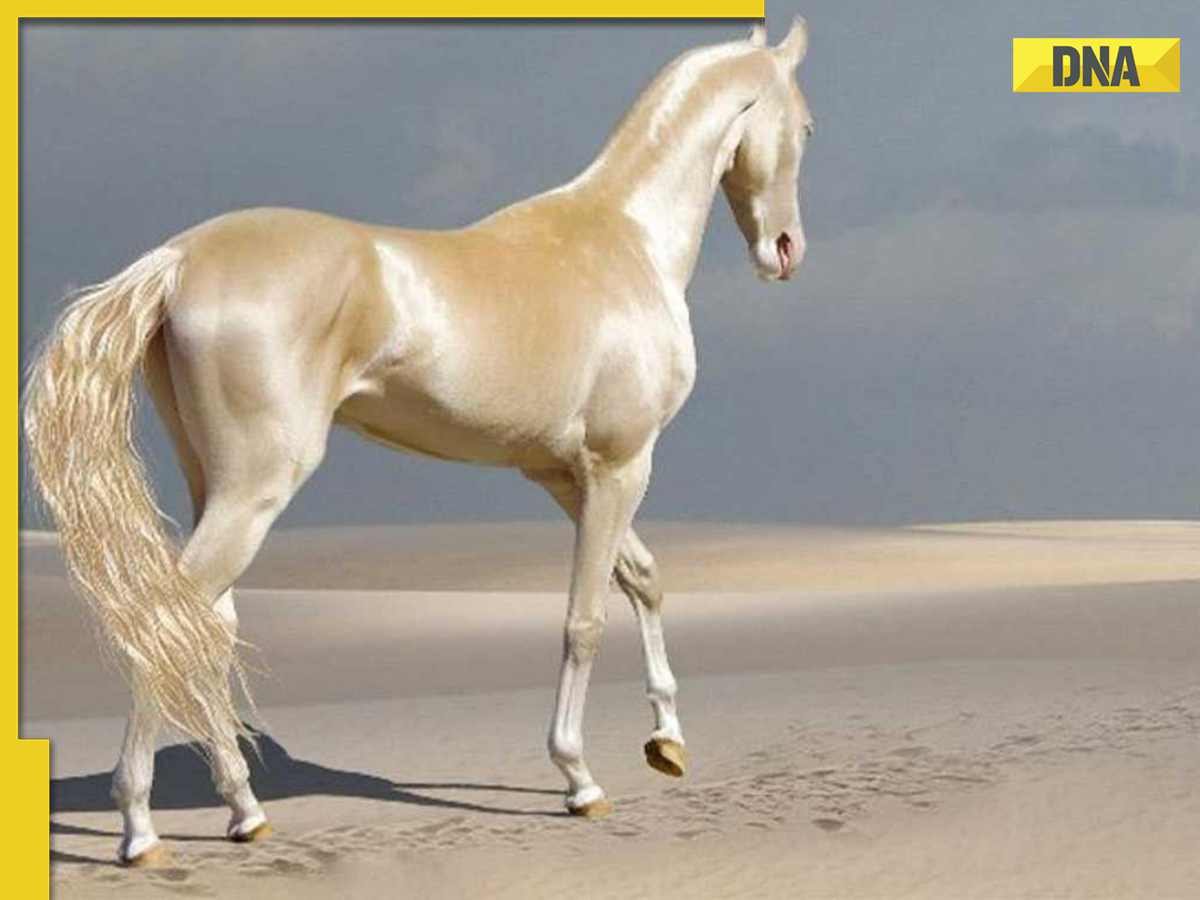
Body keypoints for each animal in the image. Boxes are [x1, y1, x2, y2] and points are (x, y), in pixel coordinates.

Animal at [24, 18, 814, 867]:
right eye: (805, 126)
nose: (785, 251)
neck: (624, 241)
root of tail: (177, 261)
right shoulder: (619, 466)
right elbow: (586, 618)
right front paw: (579, 779)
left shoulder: (563, 475)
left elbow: (644, 579)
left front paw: (667, 741)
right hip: (255, 491)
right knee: (167, 625)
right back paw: (140, 830)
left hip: (216, 487)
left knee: (203, 626)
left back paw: (244, 809)